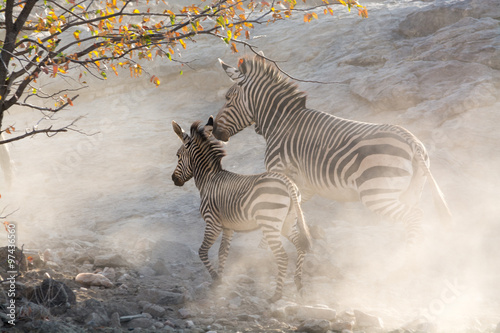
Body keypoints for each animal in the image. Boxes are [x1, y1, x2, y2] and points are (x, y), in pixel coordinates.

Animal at [172, 115, 312, 300]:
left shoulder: (212, 223)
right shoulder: (228, 227)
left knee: (282, 257)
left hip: (270, 224)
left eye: (178, 155)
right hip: (287, 222)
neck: (208, 180)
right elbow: (222, 253)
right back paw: (299, 284)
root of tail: (287, 181)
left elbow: (202, 251)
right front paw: (220, 280)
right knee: (300, 246)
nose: (173, 179)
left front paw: (216, 278)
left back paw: (276, 295)